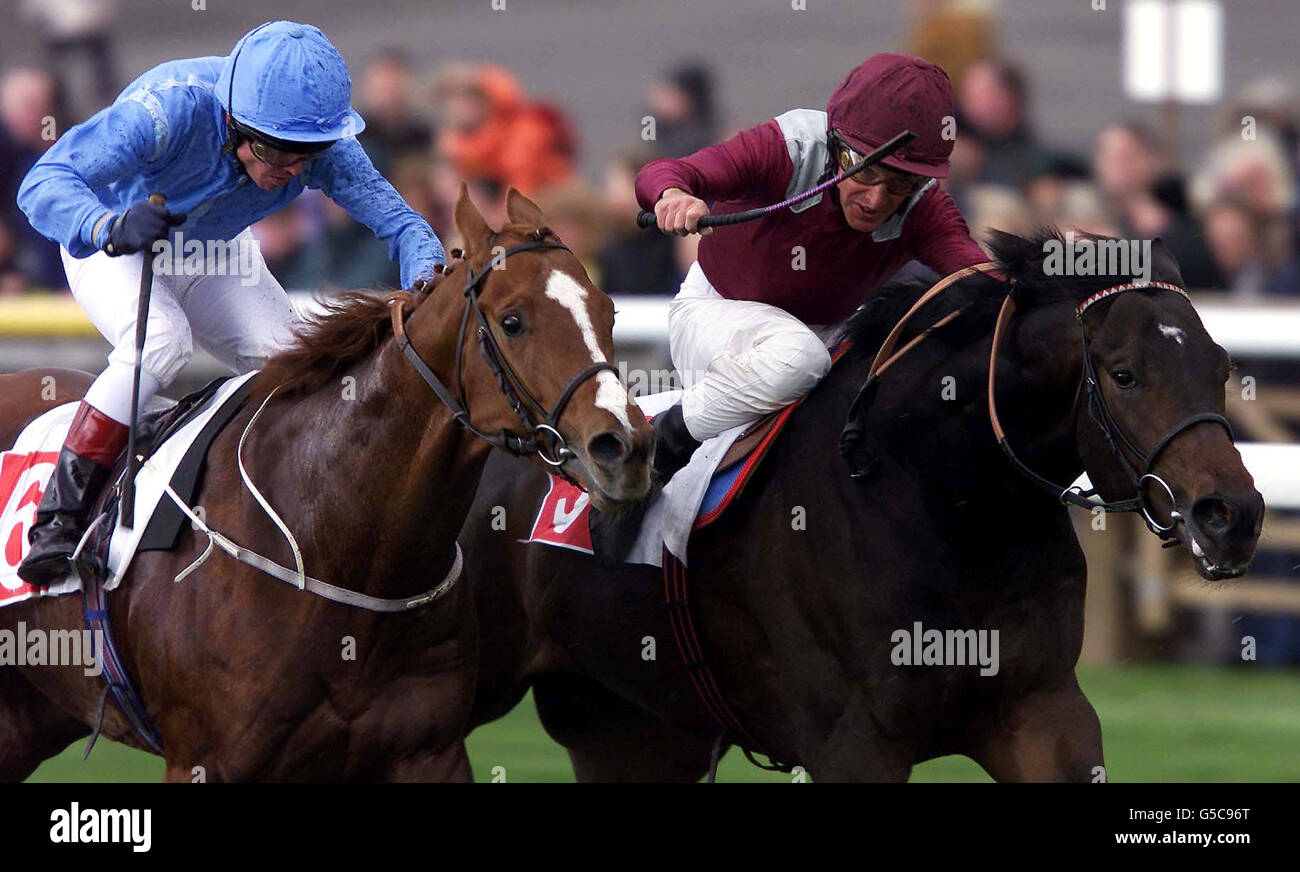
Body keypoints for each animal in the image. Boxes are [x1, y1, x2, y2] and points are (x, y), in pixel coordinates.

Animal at [0, 185, 650, 784]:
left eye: (609, 312)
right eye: (513, 321)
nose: (624, 447)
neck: (339, 542)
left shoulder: (428, 751)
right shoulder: (207, 761)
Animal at [454, 228, 1258, 779]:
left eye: (1220, 367)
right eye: (1124, 374)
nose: (1233, 515)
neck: (944, 503)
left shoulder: (1043, 712)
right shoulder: (855, 743)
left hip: (625, 724)